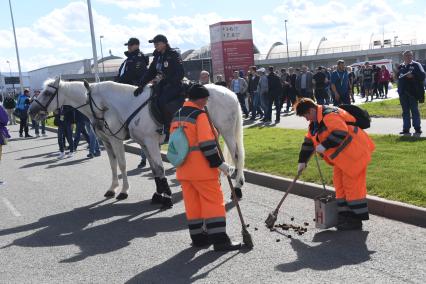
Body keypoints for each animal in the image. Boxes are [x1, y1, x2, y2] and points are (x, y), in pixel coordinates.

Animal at [28, 79, 245, 207]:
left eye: (46, 93)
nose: (31, 111)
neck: (124, 105)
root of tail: (230, 93)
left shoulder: (124, 140)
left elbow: (127, 165)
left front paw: (125, 191)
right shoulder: (117, 141)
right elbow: (121, 165)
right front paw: (116, 188)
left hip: (227, 131)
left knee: (236, 155)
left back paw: (237, 187)